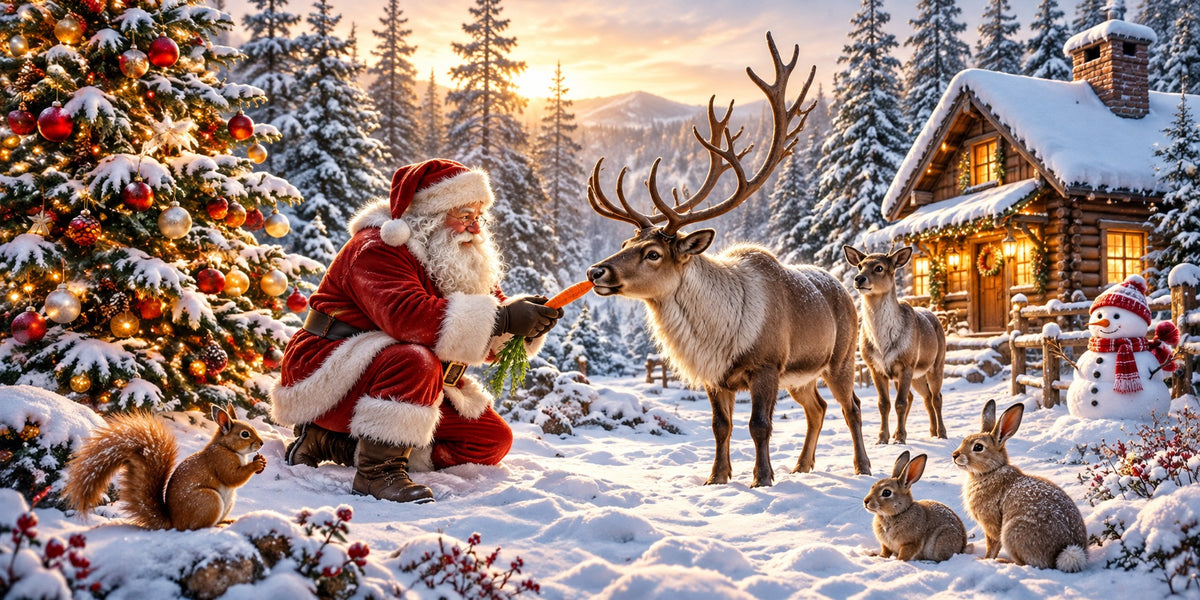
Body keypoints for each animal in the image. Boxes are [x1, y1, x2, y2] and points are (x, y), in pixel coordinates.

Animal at [584, 33, 872, 487]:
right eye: (628, 239)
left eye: (653, 253)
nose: (596, 271)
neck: (717, 336)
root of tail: (845, 288)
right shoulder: (714, 377)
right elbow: (721, 427)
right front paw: (717, 478)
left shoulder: (767, 365)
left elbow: (760, 425)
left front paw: (762, 478)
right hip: (802, 376)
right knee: (818, 408)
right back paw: (803, 465)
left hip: (840, 359)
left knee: (852, 407)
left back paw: (863, 466)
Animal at [843, 246, 947, 445]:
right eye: (860, 265)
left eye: (879, 267)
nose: (859, 279)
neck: (882, 344)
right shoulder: (875, 367)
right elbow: (884, 404)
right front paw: (883, 438)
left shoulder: (906, 364)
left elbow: (900, 403)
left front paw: (899, 438)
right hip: (916, 375)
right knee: (924, 397)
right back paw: (931, 432)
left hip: (936, 363)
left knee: (936, 397)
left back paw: (942, 433)